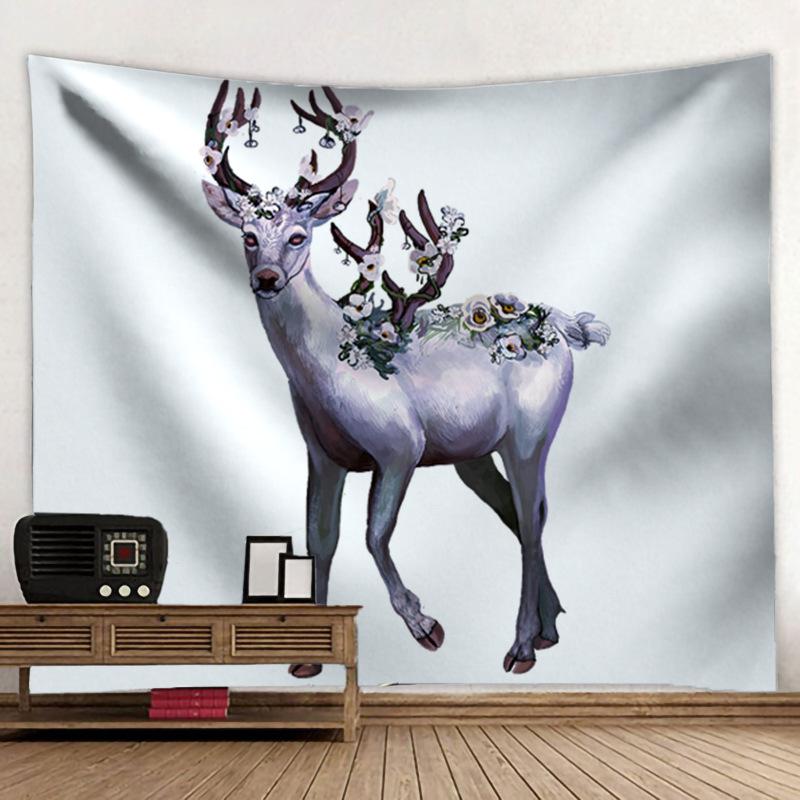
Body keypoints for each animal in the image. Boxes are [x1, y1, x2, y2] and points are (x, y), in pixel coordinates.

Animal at [200, 81, 610, 678]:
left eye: (299, 235)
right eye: (249, 236)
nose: (267, 278)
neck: (327, 369)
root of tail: (561, 325)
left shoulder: (400, 444)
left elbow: (374, 534)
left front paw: (425, 625)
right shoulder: (322, 454)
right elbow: (320, 538)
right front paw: (306, 661)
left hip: (531, 433)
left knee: (533, 519)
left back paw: (521, 648)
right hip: (472, 453)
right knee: (518, 513)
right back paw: (550, 626)